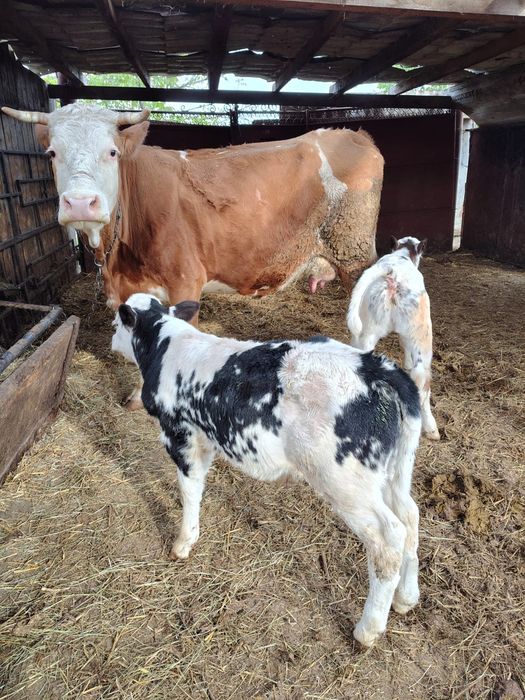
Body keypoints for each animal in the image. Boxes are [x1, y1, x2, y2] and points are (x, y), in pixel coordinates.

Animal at [2, 103, 384, 406]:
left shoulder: (185, 282)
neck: (117, 259)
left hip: (354, 255)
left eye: (112, 152)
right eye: (52, 153)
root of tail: (355, 134)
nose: (81, 203)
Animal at [111, 292, 422, 647]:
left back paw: (367, 629)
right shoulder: (206, 436)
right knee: (410, 515)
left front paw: (184, 542)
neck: (167, 343)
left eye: (116, 323)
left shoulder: (179, 433)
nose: (110, 340)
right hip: (393, 470)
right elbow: (199, 484)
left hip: (346, 482)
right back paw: (406, 597)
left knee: (388, 538)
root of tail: (378, 369)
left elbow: (189, 488)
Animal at [346, 236, 440, 440]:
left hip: (367, 329)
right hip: (423, 333)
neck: (401, 255)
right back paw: (431, 427)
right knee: (422, 378)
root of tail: (393, 272)